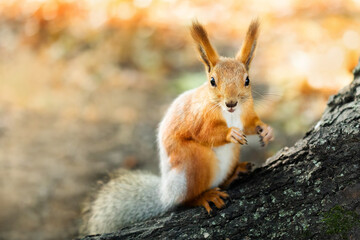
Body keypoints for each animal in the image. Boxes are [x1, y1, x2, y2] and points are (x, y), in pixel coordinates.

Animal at [81, 19, 272, 236]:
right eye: (212, 81)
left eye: (247, 80)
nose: (231, 103)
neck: (230, 113)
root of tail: (165, 194)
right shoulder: (198, 117)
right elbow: (205, 133)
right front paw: (230, 133)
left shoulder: (246, 112)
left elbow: (250, 125)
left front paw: (265, 130)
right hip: (194, 162)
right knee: (184, 200)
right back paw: (205, 197)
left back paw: (235, 174)